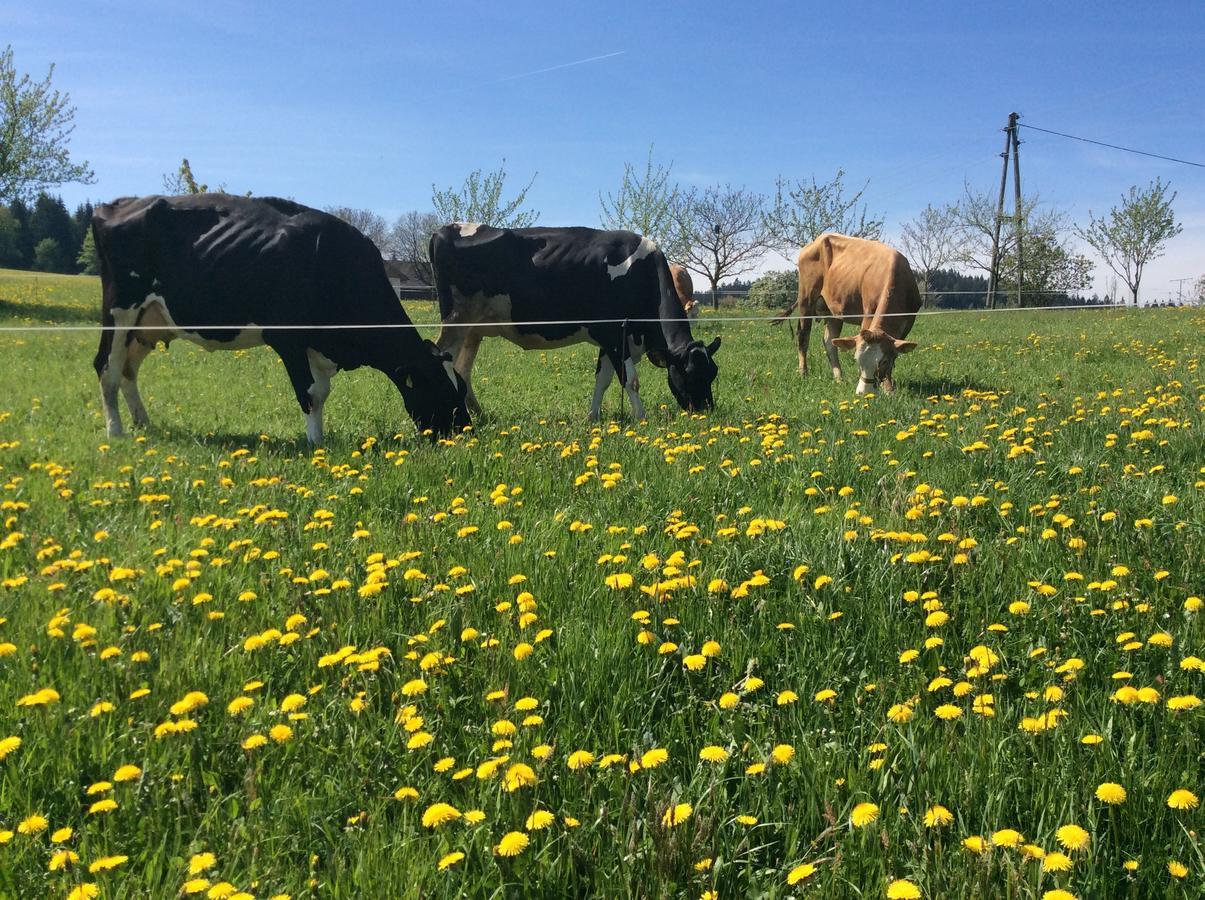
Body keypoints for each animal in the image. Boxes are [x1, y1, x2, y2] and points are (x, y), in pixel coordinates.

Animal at [91, 193, 469, 443]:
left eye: (461, 388)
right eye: (441, 392)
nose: (463, 433)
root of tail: (116, 204)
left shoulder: (320, 344)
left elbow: (322, 392)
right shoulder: (288, 338)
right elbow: (311, 393)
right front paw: (315, 445)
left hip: (149, 322)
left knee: (128, 369)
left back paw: (144, 425)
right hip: (120, 311)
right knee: (107, 366)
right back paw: (116, 432)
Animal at [428, 225, 718, 421]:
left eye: (713, 373)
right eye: (690, 374)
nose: (706, 411)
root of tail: (445, 229)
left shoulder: (610, 338)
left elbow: (603, 379)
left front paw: (593, 416)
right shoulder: (615, 334)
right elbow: (630, 380)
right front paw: (641, 417)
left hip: (473, 330)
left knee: (462, 369)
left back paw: (477, 413)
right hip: (457, 320)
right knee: (443, 358)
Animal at [776, 232, 915, 395]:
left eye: (883, 361)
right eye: (856, 360)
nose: (863, 393)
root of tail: (818, 239)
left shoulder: (908, 321)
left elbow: (895, 354)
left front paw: (888, 388)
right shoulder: (868, 313)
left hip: (834, 310)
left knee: (829, 342)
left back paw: (839, 377)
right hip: (806, 298)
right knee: (803, 336)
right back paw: (803, 372)